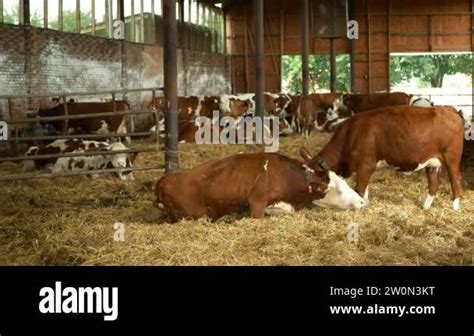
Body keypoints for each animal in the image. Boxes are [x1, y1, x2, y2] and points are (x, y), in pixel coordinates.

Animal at [302, 105, 464, 210]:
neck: (350, 134)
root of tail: (449, 109)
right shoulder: (364, 169)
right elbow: (365, 189)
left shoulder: (365, 165)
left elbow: (360, 189)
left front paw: (361, 206)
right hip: (432, 163)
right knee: (434, 183)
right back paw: (425, 207)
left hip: (452, 158)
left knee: (455, 180)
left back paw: (455, 207)